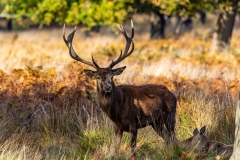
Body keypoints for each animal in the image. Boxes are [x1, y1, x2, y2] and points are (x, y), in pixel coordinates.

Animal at [62, 21, 177, 158]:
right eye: (98, 77)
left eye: (112, 76)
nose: (107, 87)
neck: (118, 112)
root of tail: (173, 94)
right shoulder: (117, 127)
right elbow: (116, 148)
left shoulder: (134, 123)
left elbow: (133, 148)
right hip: (156, 122)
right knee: (168, 139)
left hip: (170, 115)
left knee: (174, 137)